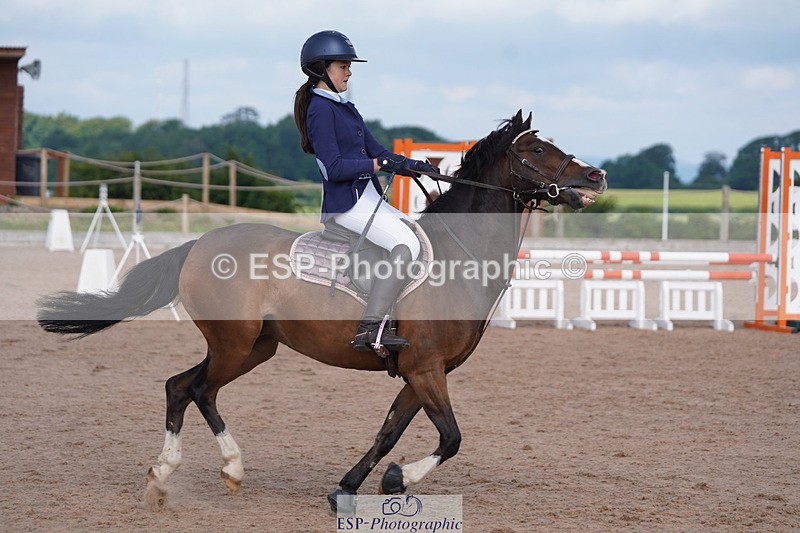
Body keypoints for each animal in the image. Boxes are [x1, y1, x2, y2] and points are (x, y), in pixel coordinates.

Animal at [37, 110, 607, 511]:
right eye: (537, 148)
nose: (597, 176)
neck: (455, 258)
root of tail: (200, 244)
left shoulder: (420, 371)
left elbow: (389, 431)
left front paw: (352, 486)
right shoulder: (426, 368)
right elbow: (451, 437)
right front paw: (398, 478)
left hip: (256, 346)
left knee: (182, 387)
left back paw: (163, 478)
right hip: (234, 343)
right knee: (197, 389)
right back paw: (229, 469)